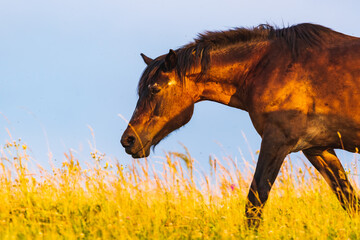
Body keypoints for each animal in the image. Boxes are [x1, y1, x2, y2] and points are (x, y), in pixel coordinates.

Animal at [121, 23, 360, 228]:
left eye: (155, 89)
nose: (128, 140)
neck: (268, 67)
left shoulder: (276, 141)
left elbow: (254, 202)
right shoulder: (317, 149)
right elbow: (349, 199)